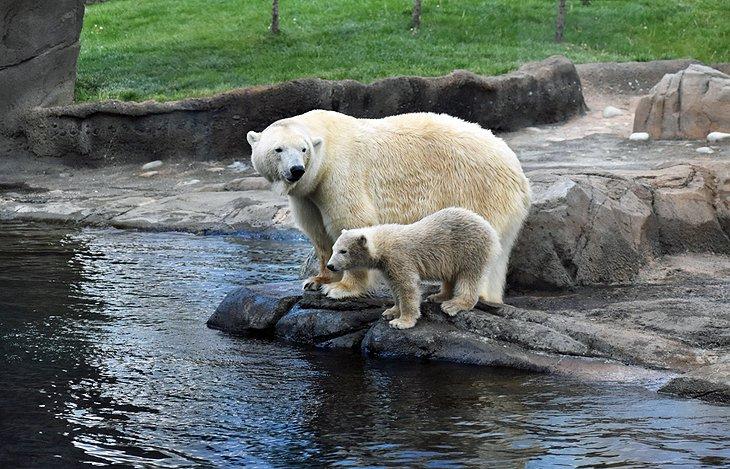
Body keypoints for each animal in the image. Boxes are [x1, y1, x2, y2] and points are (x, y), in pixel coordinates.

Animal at [246, 109, 531, 303]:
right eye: (278, 149)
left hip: (477, 189)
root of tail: (517, 169)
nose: (296, 170)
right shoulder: (309, 194)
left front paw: (341, 289)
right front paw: (317, 280)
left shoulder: (339, 174)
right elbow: (319, 234)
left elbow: (352, 221)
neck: (327, 144)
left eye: (303, 148)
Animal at [326, 207, 501, 329]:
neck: (383, 243)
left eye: (343, 251)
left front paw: (401, 322)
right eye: (333, 248)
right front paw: (391, 311)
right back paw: (438, 296)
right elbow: (394, 286)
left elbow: (407, 287)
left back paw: (453, 304)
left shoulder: (399, 258)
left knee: (469, 277)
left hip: (470, 248)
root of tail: (489, 228)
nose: (330, 265)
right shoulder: (387, 266)